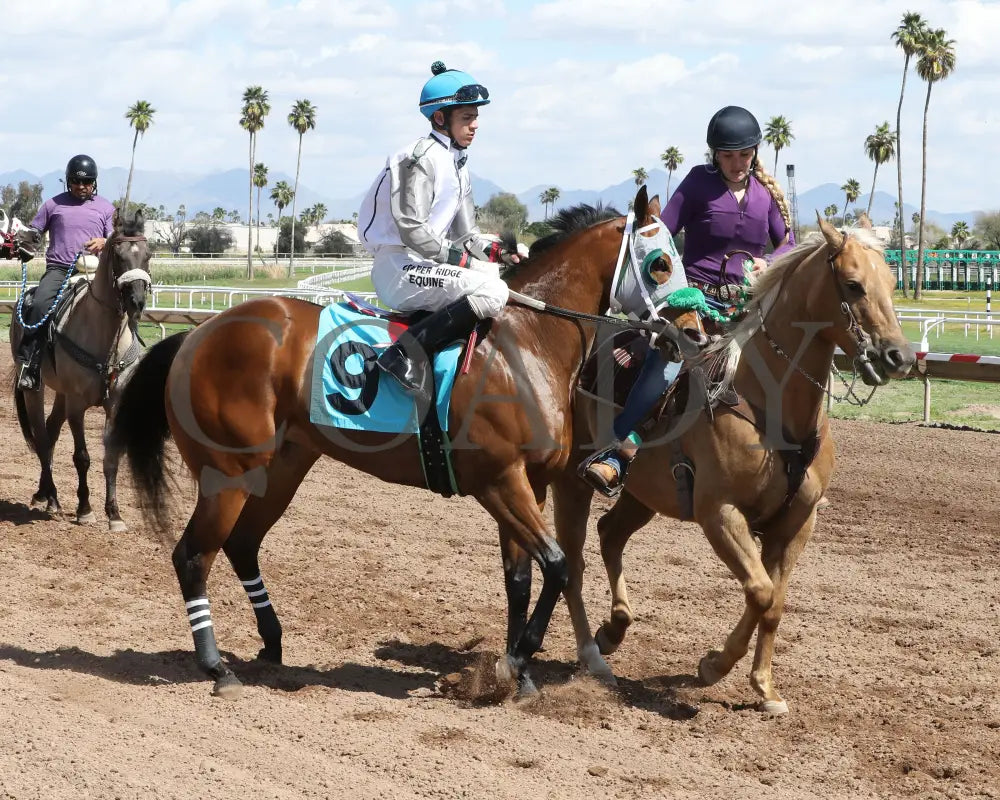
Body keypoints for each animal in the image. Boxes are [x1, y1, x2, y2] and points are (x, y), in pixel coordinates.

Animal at [9, 211, 151, 532]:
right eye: (119, 256)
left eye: (148, 255)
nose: (137, 301)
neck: (105, 340)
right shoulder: (77, 405)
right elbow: (82, 457)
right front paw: (85, 509)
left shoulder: (114, 405)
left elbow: (111, 457)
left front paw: (114, 514)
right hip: (36, 390)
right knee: (42, 437)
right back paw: (53, 497)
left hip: (60, 394)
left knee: (50, 432)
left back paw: (45, 495)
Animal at [111, 186, 688, 692]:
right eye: (661, 263)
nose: (693, 328)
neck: (523, 345)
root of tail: (197, 334)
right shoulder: (499, 481)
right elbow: (559, 566)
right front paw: (515, 662)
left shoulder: (530, 485)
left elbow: (523, 578)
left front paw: (517, 673)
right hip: (228, 472)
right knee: (192, 555)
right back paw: (216, 667)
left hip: (282, 467)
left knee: (242, 544)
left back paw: (271, 644)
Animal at [552, 217, 916, 712]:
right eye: (853, 284)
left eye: (893, 283)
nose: (900, 357)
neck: (771, 408)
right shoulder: (720, 514)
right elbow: (759, 591)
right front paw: (713, 667)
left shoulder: (797, 523)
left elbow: (774, 601)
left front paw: (765, 687)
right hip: (571, 482)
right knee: (573, 556)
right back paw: (594, 649)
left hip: (644, 494)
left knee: (610, 534)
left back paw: (615, 629)